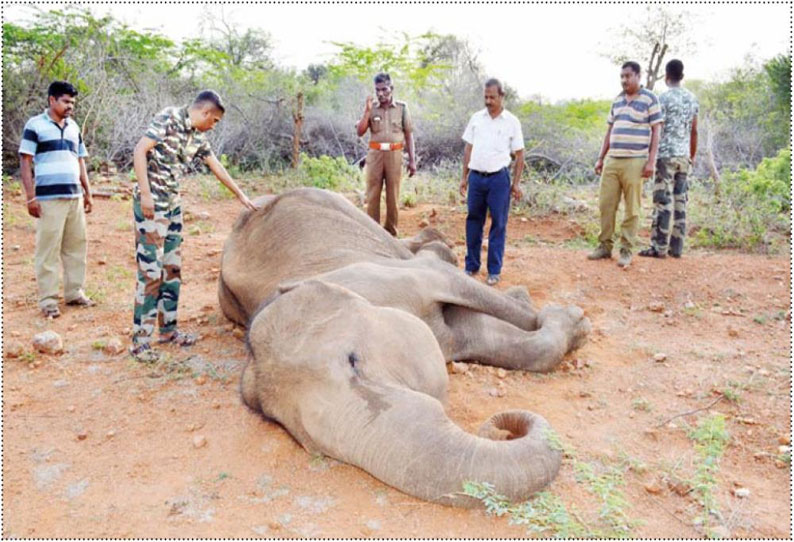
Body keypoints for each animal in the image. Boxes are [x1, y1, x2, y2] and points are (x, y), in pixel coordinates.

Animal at [217, 189, 588, 508]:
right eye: (301, 440)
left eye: (354, 361)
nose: (503, 430)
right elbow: (480, 335)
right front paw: (564, 320)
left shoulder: (390, 277)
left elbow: (456, 285)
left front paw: (569, 320)